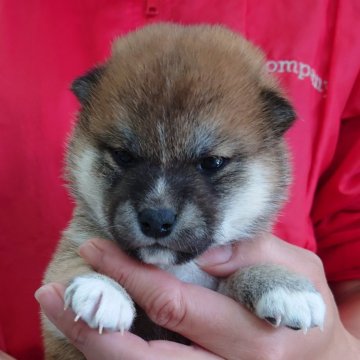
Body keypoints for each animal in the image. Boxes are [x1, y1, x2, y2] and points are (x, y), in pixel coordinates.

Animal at [42, 23, 326, 358]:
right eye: (123, 156)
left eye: (212, 162)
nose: (155, 220)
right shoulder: (65, 276)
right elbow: (71, 262)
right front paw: (102, 288)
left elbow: (234, 277)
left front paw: (282, 284)